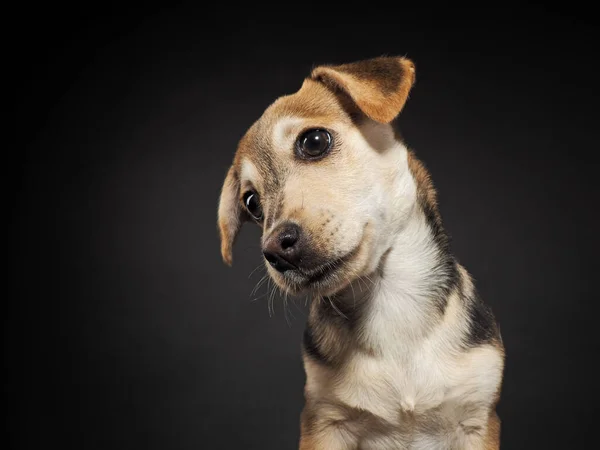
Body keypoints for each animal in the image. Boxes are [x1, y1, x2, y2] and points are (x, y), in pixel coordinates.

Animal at [218, 57, 504, 450]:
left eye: (314, 141)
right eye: (252, 204)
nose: (274, 250)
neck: (390, 299)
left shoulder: (477, 419)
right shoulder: (324, 420)